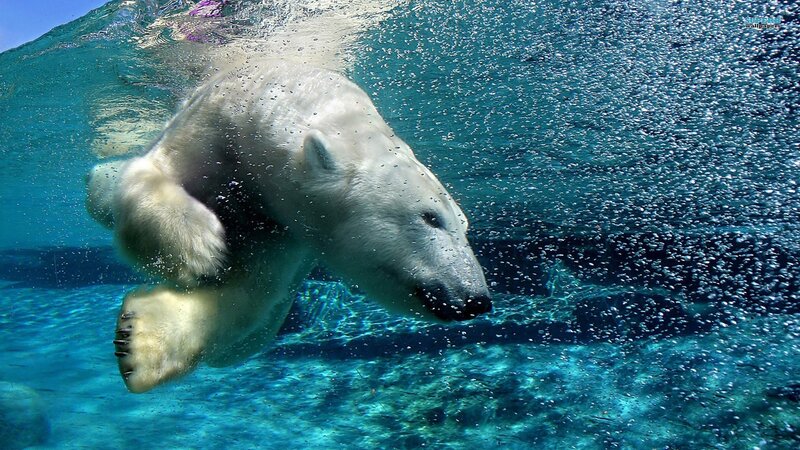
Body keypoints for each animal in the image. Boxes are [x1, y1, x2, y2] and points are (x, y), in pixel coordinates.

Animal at [87, 60, 491, 393]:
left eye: (465, 226)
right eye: (431, 217)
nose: (476, 299)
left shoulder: (287, 230)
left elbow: (251, 292)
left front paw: (139, 340)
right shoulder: (214, 125)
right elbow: (153, 173)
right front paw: (199, 247)